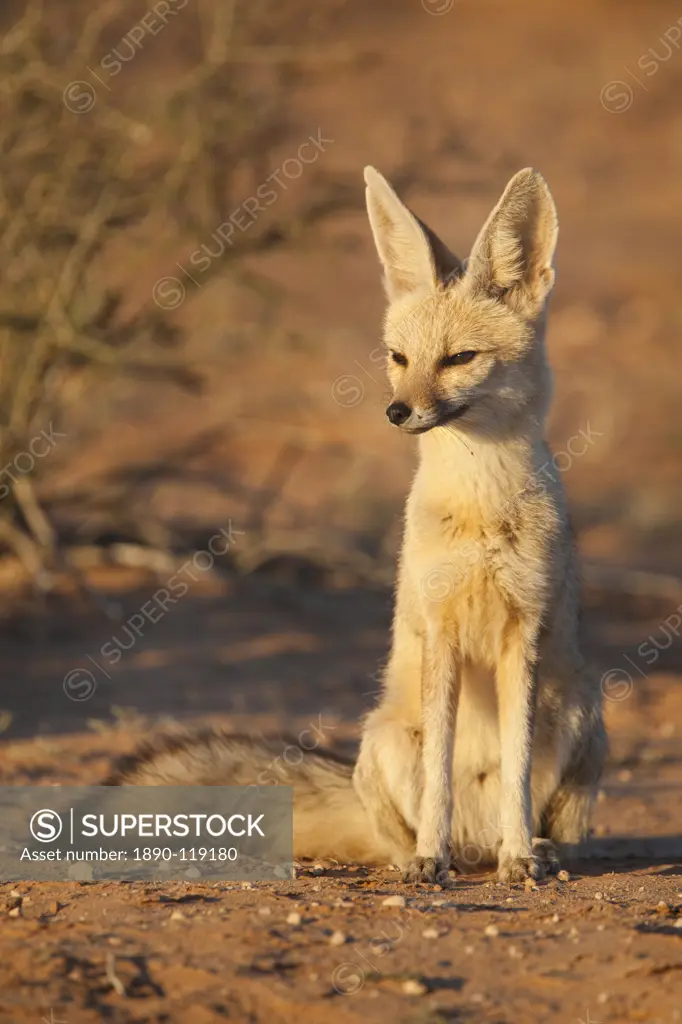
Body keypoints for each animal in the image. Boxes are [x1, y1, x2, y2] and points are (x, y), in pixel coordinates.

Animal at [111, 165, 606, 880]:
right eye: (398, 357)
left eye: (458, 359)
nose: (397, 412)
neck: (480, 507)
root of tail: (475, 840)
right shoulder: (440, 630)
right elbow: (439, 776)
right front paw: (430, 859)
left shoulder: (525, 633)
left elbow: (514, 770)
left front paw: (519, 859)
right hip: (384, 735)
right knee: (411, 822)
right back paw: (431, 854)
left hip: (580, 713)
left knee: (553, 823)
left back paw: (534, 849)